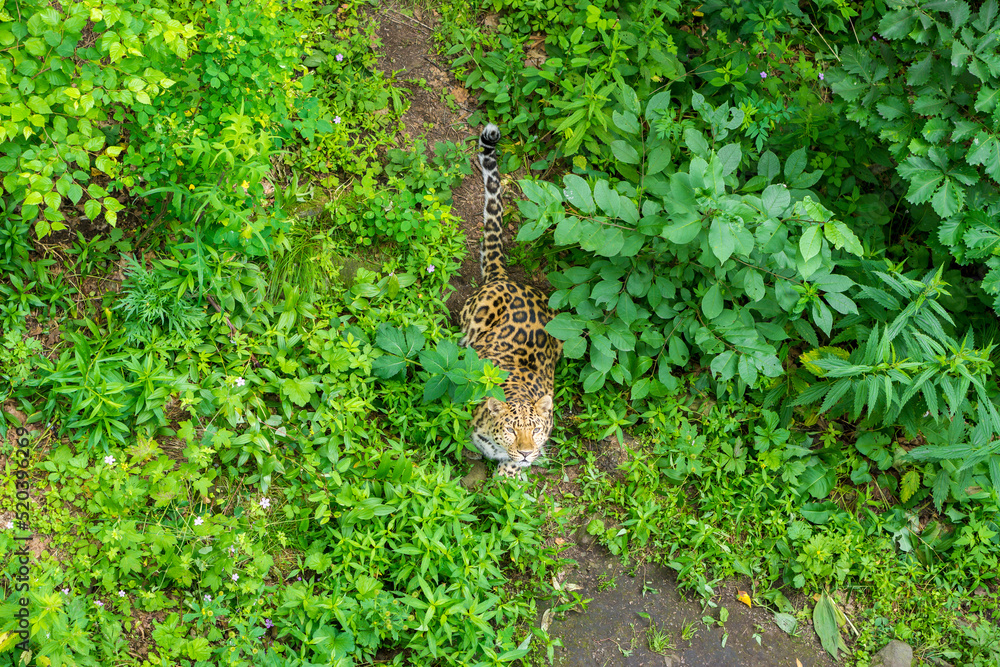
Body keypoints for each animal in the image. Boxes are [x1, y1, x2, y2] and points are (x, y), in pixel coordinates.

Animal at [458, 124, 562, 478]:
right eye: (511, 430)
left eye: (537, 429)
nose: (528, 452)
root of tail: (505, 277)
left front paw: (509, 473)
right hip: (474, 321)